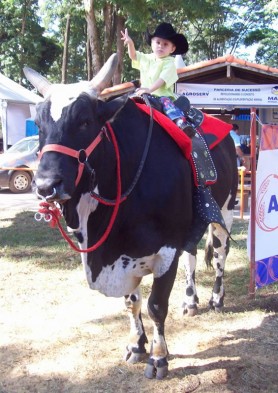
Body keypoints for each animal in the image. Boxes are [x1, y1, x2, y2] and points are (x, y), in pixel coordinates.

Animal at [23, 53, 237, 378]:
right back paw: (190, 300)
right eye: (38, 124)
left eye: (85, 121)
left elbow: (156, 305)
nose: (46, 185)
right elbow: (132, 302)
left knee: (221, 256)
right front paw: (137, 345)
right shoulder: (124, 251)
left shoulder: (166, 249)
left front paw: (159, 357)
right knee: (192, 256)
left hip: (225, 211)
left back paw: (216, 298)